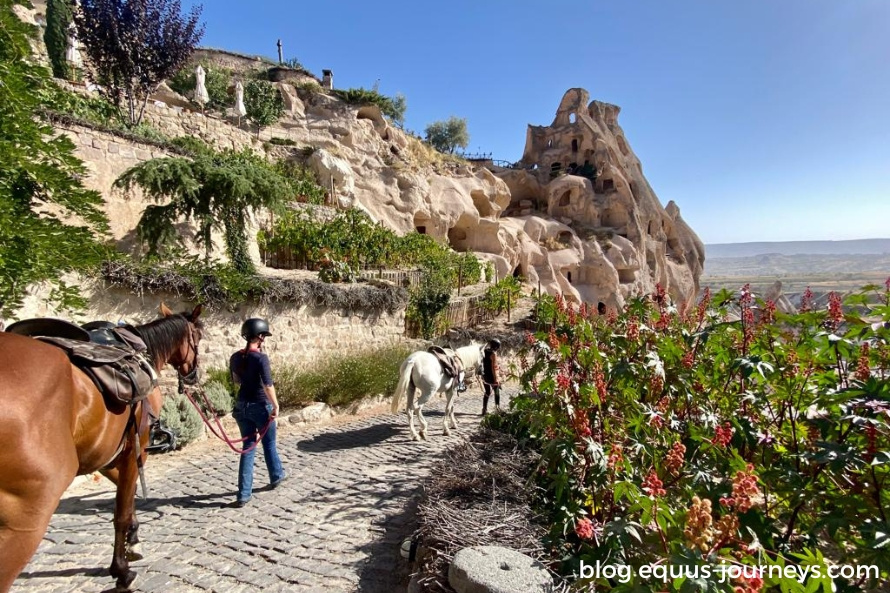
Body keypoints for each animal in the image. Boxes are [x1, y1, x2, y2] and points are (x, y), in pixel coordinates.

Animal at [0, 302, 202, 588]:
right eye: (198, 337)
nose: (194, 374)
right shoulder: (134, 449)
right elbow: (122, 509)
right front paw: (122, 567)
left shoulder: (103, 454)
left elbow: (126, 494)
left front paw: (133, 538)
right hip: (26, 518)